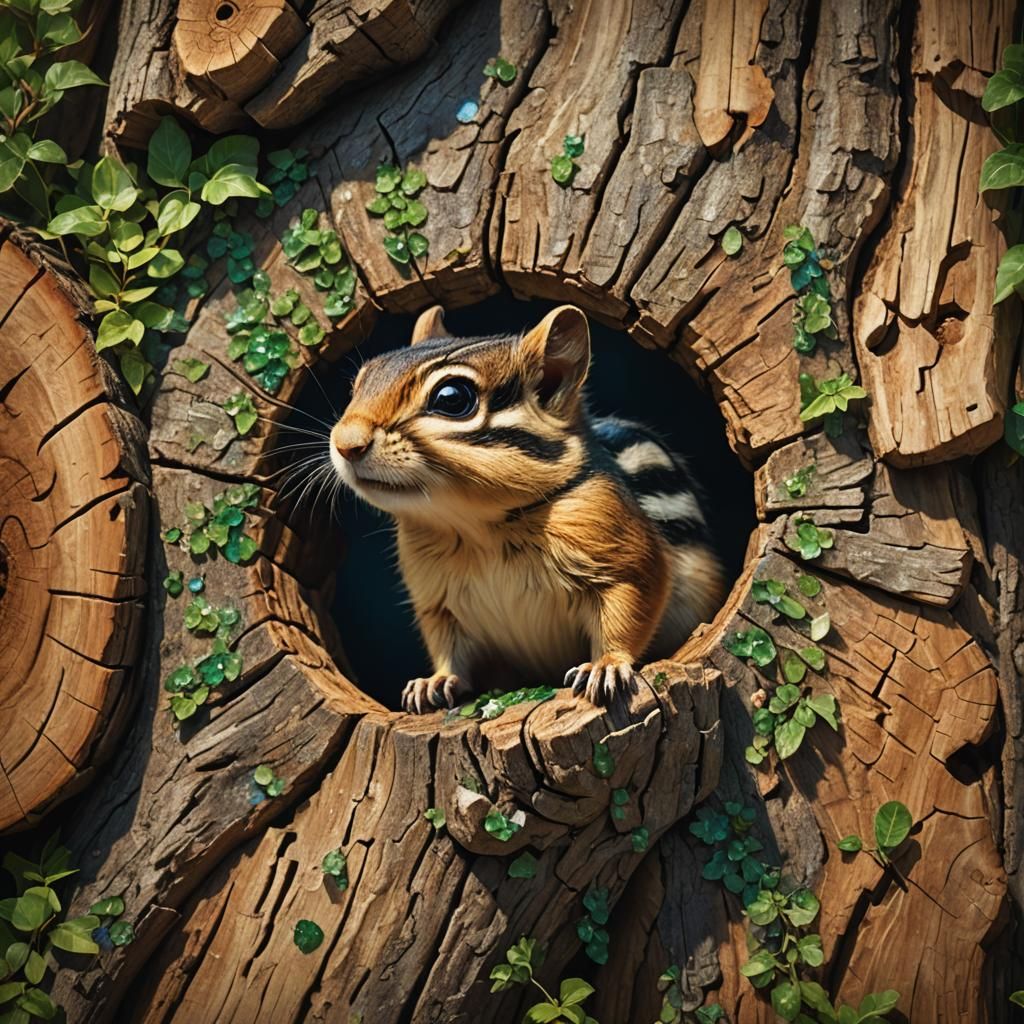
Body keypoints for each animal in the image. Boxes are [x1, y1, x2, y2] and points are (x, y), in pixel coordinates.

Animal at [329, 304, 726, 713]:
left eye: (451, 398)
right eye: (358, 384)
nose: (346, 443)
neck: (479, 527)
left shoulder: (626, 561)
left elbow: (627, 615)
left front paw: (605, 665)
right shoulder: (436, 604)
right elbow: (448, 648)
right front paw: (433, 681)